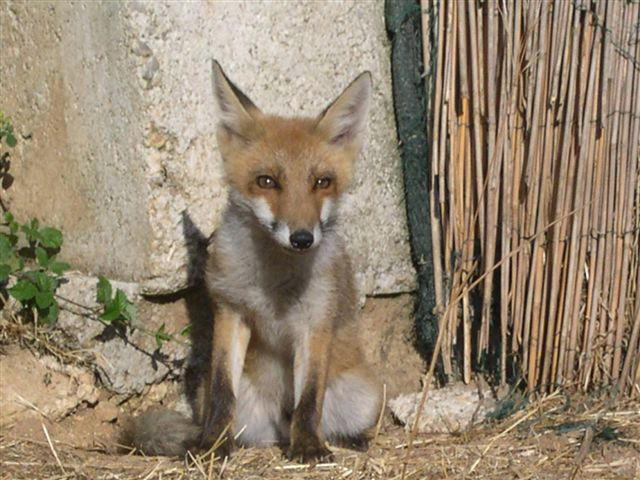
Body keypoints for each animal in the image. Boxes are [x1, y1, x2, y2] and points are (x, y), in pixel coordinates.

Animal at [127, 60, 382, 462]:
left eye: (322, 182)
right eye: (267, 181)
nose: (302, 238)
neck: (275, 284)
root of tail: (278, 420)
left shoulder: (315, 322)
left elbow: (309, 400)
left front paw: (308, 447)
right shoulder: (230, 311)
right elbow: (222, 392)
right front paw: (213, 444)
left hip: (363, 395)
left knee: (325, 417)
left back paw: (343, 439)